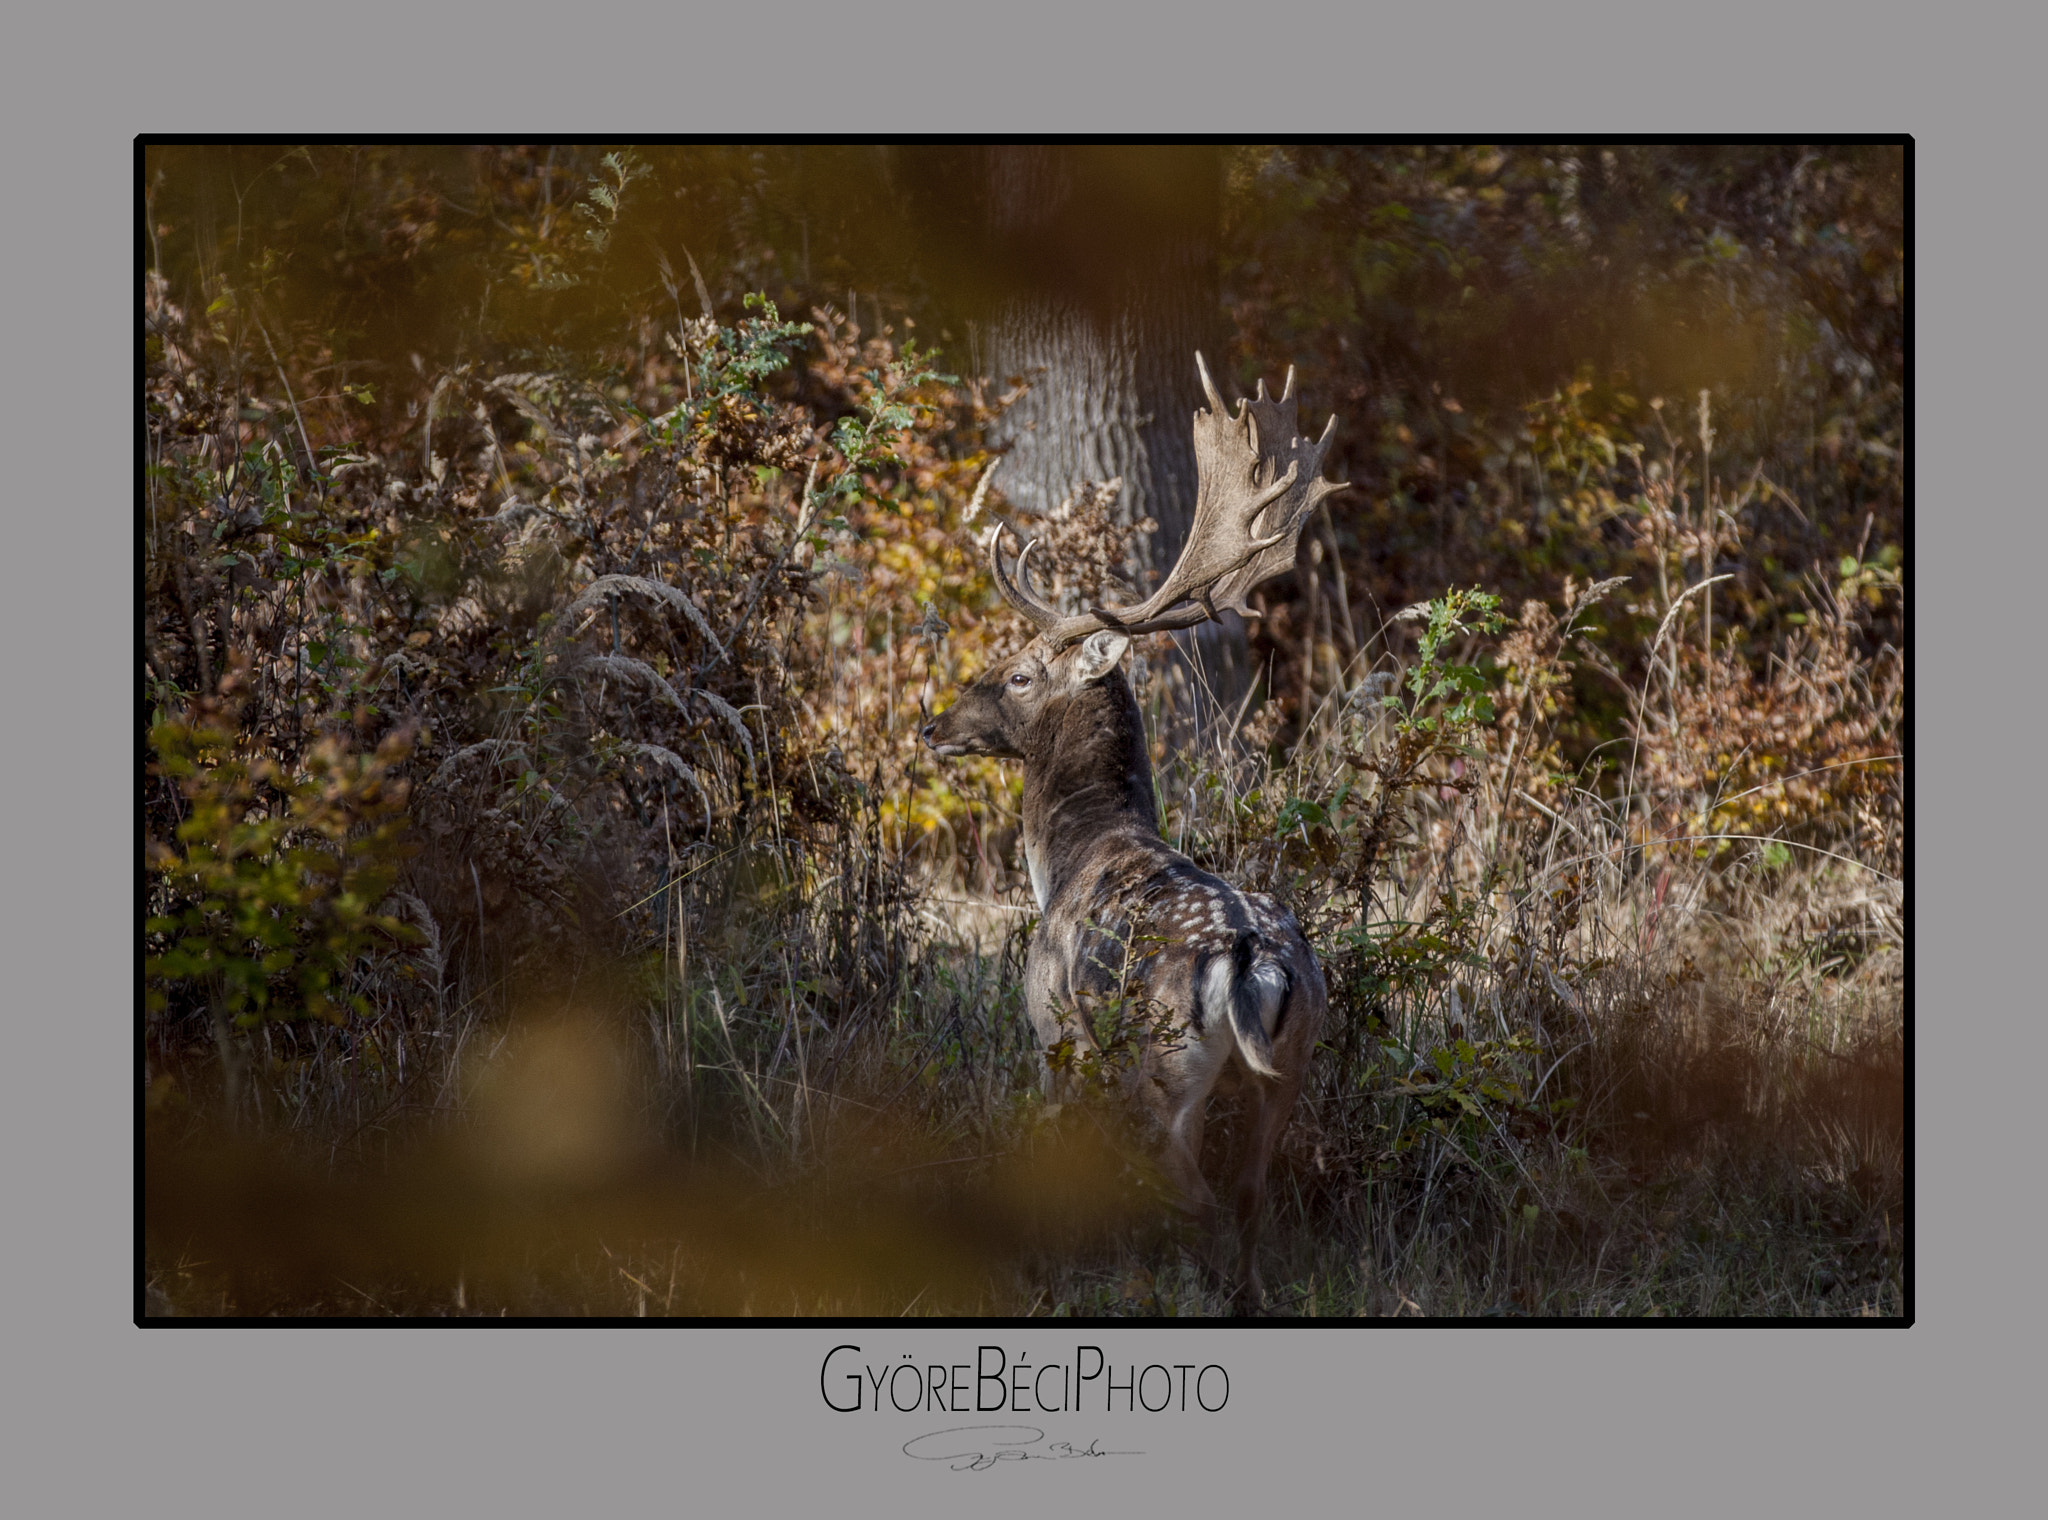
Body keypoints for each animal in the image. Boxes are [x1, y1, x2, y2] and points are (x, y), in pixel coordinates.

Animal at [925, 356, 1343, 1311]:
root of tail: (1255, 960)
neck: (1065, 860)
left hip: (1167, 1064)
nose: (934, 726)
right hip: (1295, 1059)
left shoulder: (1052, 1025)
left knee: (1196, 1193)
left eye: (1020, 673)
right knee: (1252, 1193)